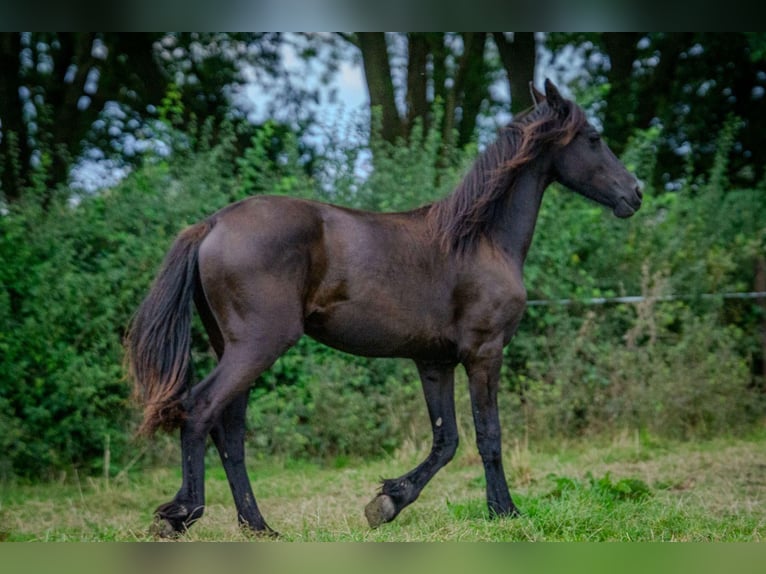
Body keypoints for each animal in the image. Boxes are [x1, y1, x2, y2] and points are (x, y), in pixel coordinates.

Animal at [126, 81, 640, 540]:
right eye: (594, 137)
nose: (634, 193)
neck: (480, 239)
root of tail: (212, 225)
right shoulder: (484, 353)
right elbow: (488, 436)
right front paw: (505, 513)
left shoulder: (434, 362)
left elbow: (446, 440)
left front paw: (388, 502)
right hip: (257, 345)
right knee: (200, 411)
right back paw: (181, 515)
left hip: (233, 347)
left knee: (229, 430)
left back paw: (259, 527)